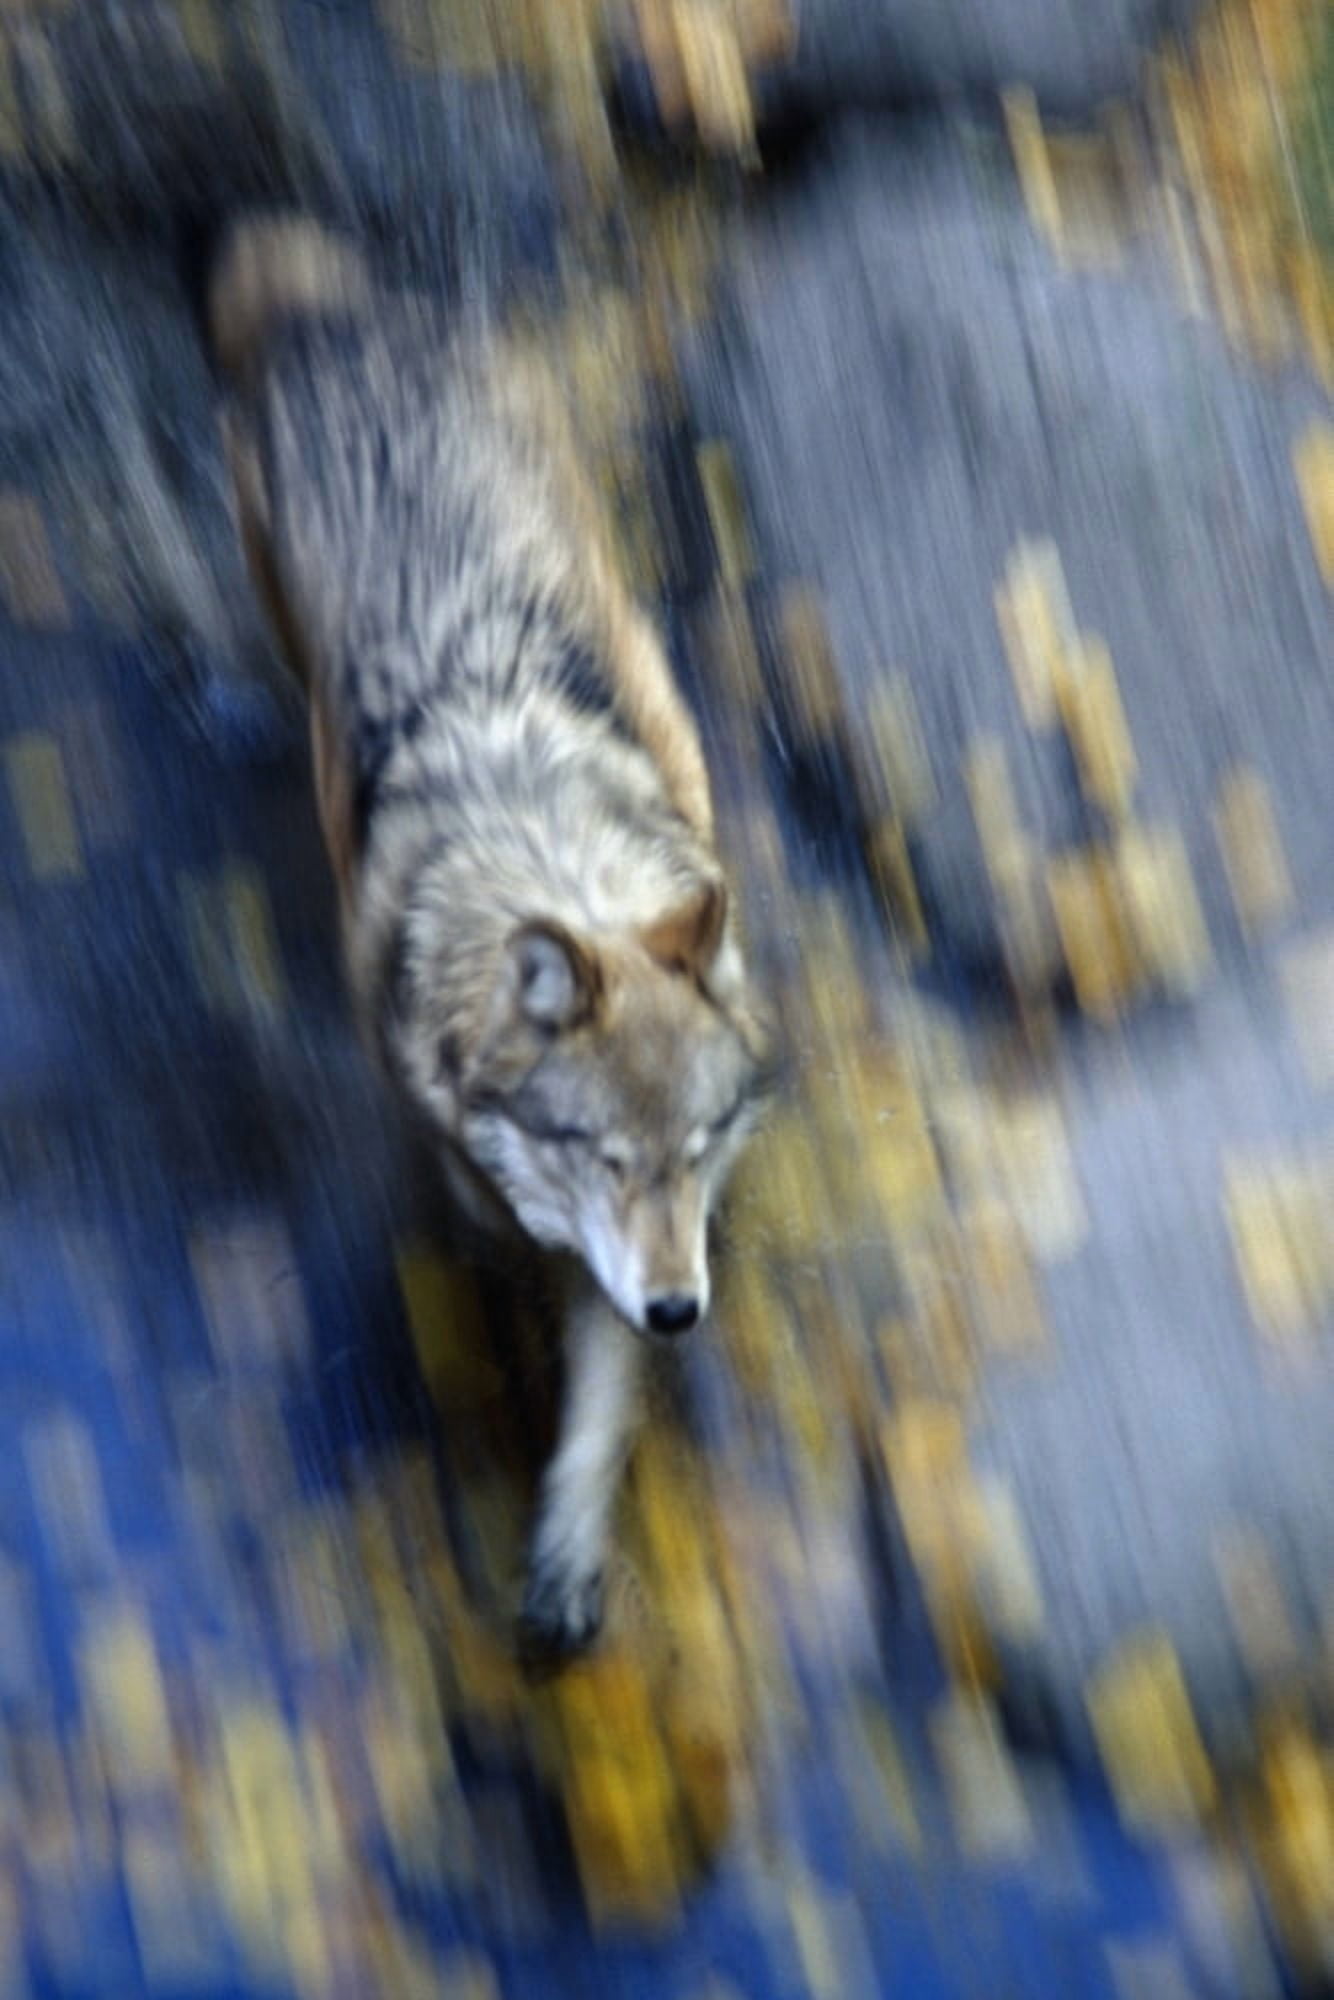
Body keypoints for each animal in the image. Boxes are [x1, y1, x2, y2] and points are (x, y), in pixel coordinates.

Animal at [206, 217, 771, 1659]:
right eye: (606, 1156)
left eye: (696, 1150)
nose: (683, 1310)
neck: (547, 856)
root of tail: (343, 309)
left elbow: (602, 1398)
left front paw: (568, 1549)